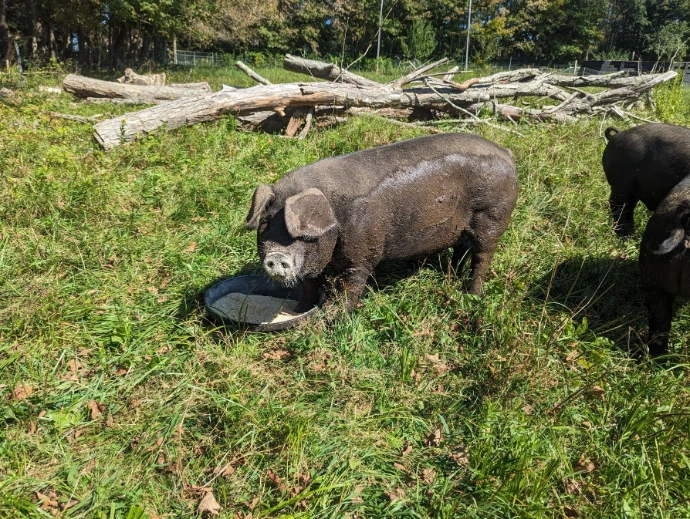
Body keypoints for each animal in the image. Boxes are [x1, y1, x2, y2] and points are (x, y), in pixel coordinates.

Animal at [244, 133, 518, 313]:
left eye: (302, 233)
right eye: (266, 223)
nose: (277, 256)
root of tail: (506, 154)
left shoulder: (362, 254)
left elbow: (352, 286)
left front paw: (338, 318)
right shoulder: (316, 263)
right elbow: (310, 286)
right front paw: (298, 312)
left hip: (493, 216)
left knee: (482, 256)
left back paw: (472, 294)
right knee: (461, 250)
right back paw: (452, 277)